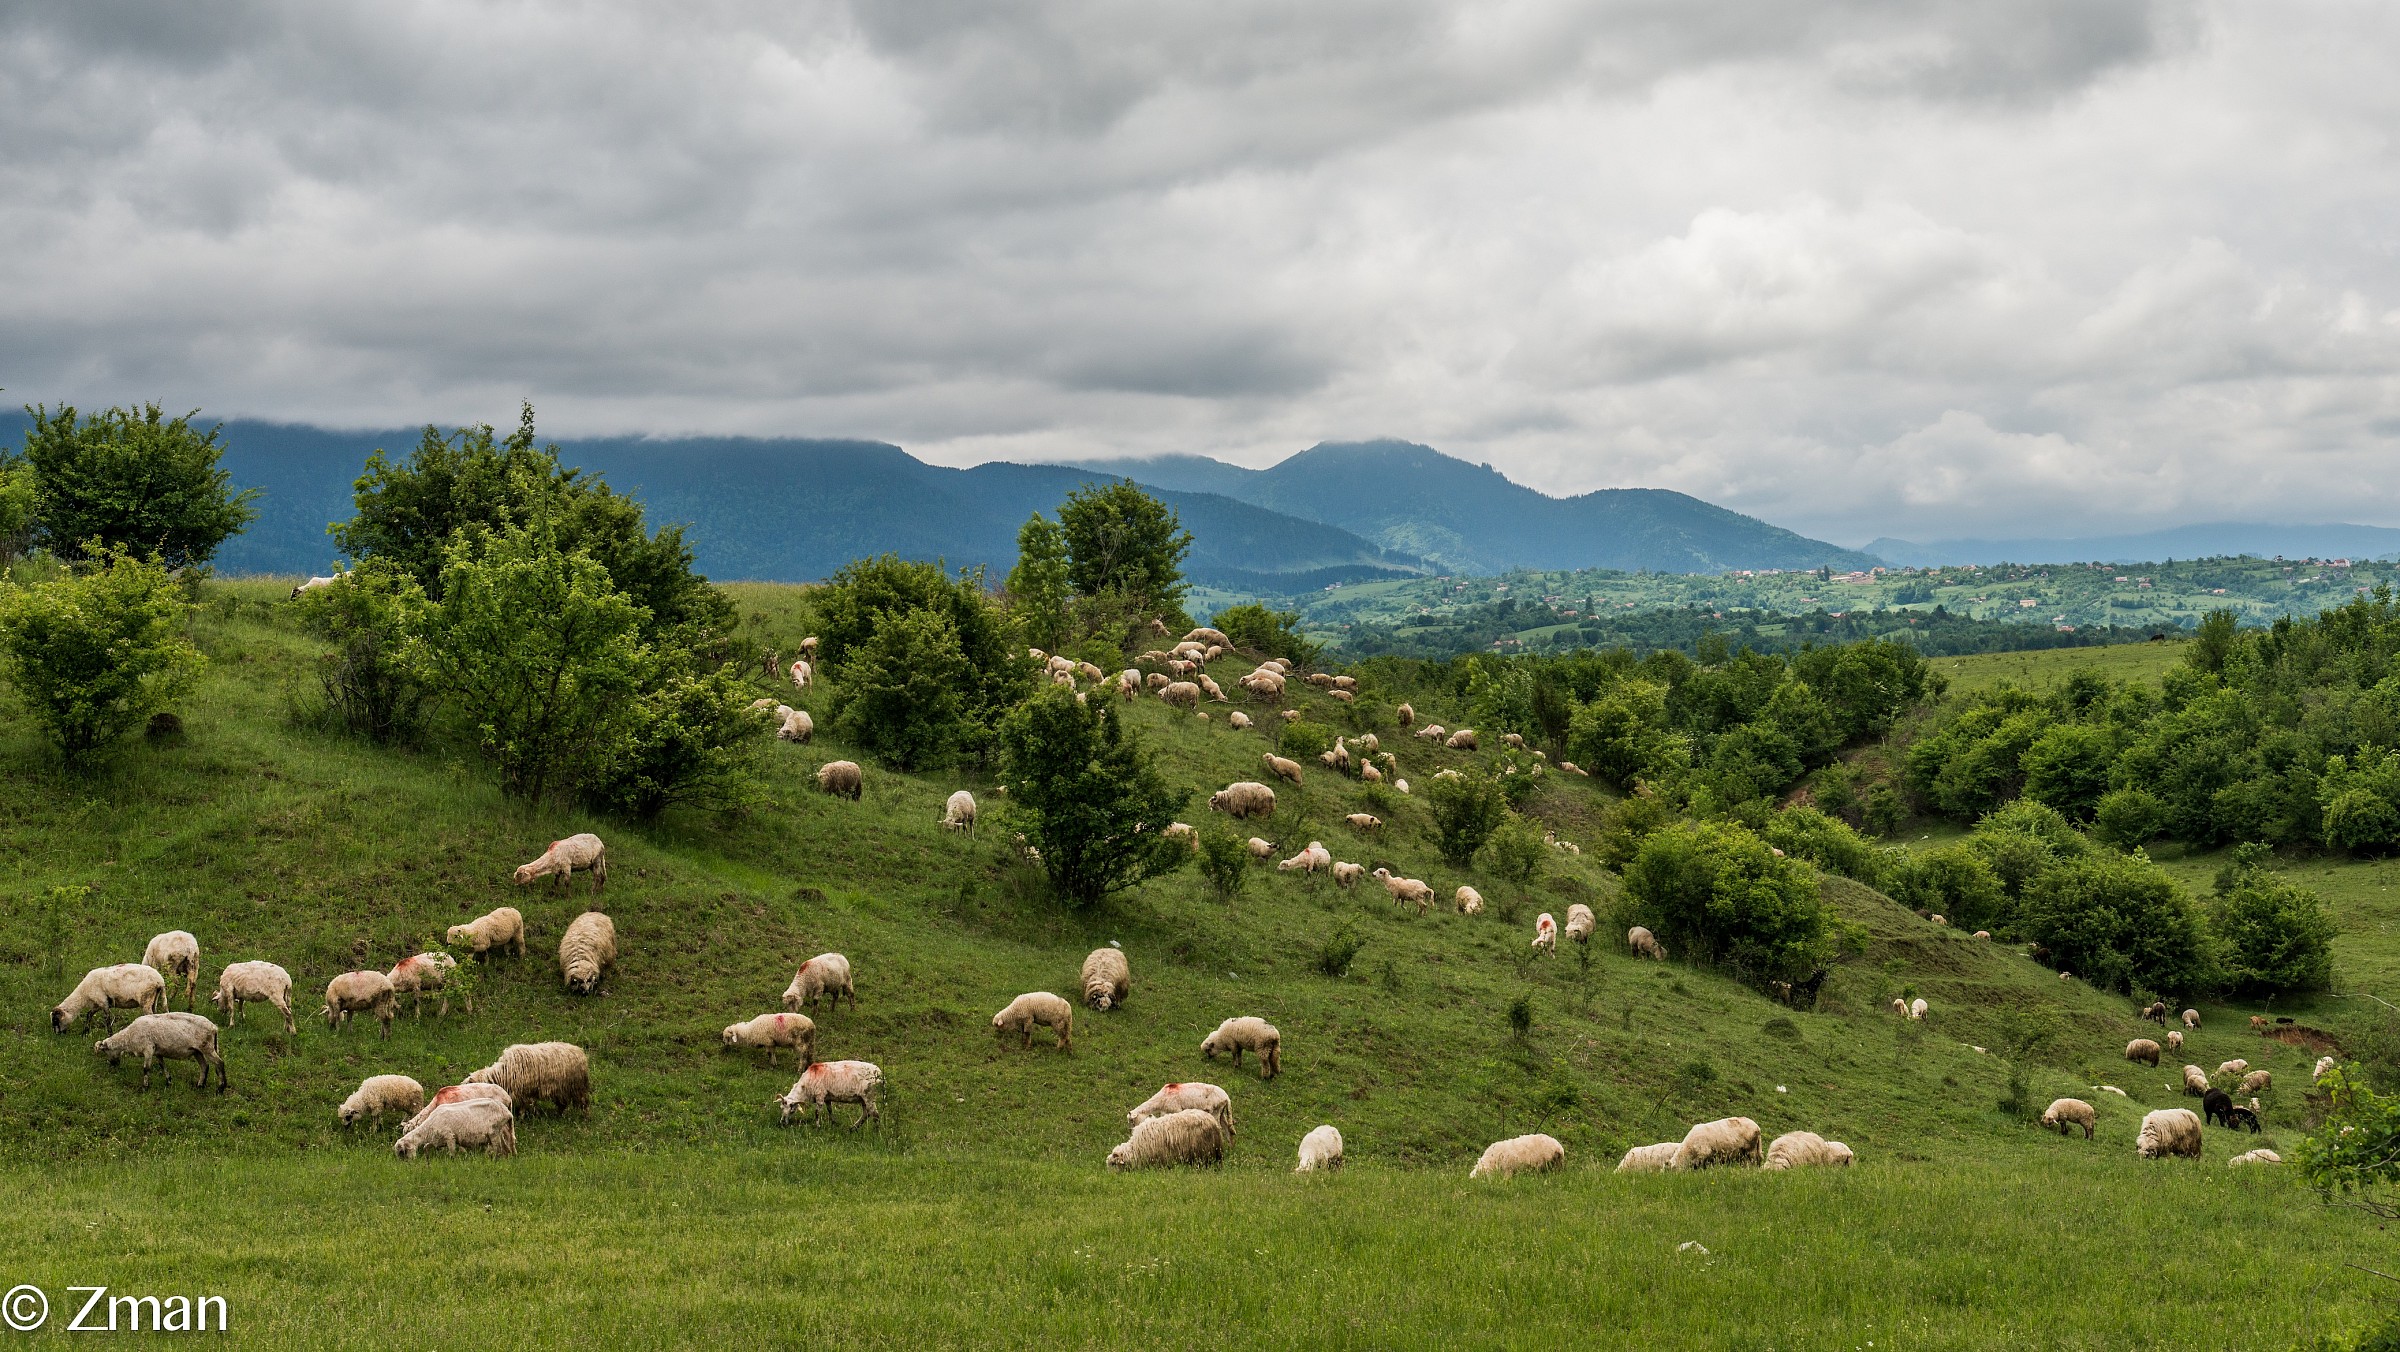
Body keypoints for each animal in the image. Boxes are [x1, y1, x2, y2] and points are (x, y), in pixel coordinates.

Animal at [93, 1012, 227, 1091]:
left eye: (105, 1051)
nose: (113, 1064)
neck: (129, 1036)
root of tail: (214, 1027)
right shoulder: (157, 1052)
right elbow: (162, 1066)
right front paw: (168, 1081)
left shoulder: (148, 1048)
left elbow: (146, 1068)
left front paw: (145, 1087)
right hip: (197, 1050)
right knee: (204, 1066)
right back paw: (200, 1085)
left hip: (207, 1047)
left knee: (219, 1063)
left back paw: (221, 1088)